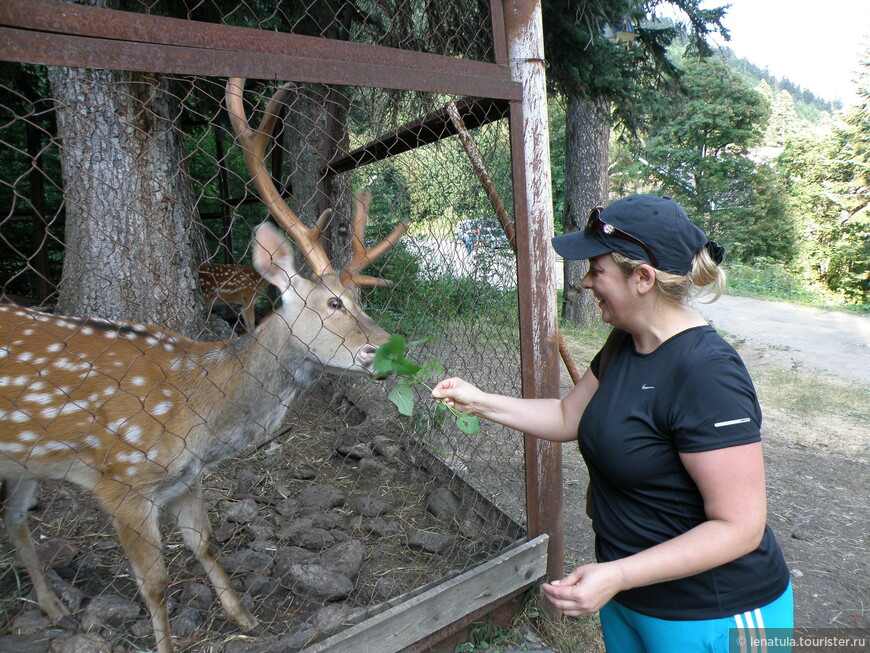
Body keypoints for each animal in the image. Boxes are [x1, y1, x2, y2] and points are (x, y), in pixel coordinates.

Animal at [0, 79, 408, 652]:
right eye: (333, 303)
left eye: (360, 299)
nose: (390, 348)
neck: (198, 411)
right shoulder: (121, 481)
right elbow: (155, 581)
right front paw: (168, 641)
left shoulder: (186, 479)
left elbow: (206, 543)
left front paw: (245, 618)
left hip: (22, 459)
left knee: (14, 518)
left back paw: (53, 605)